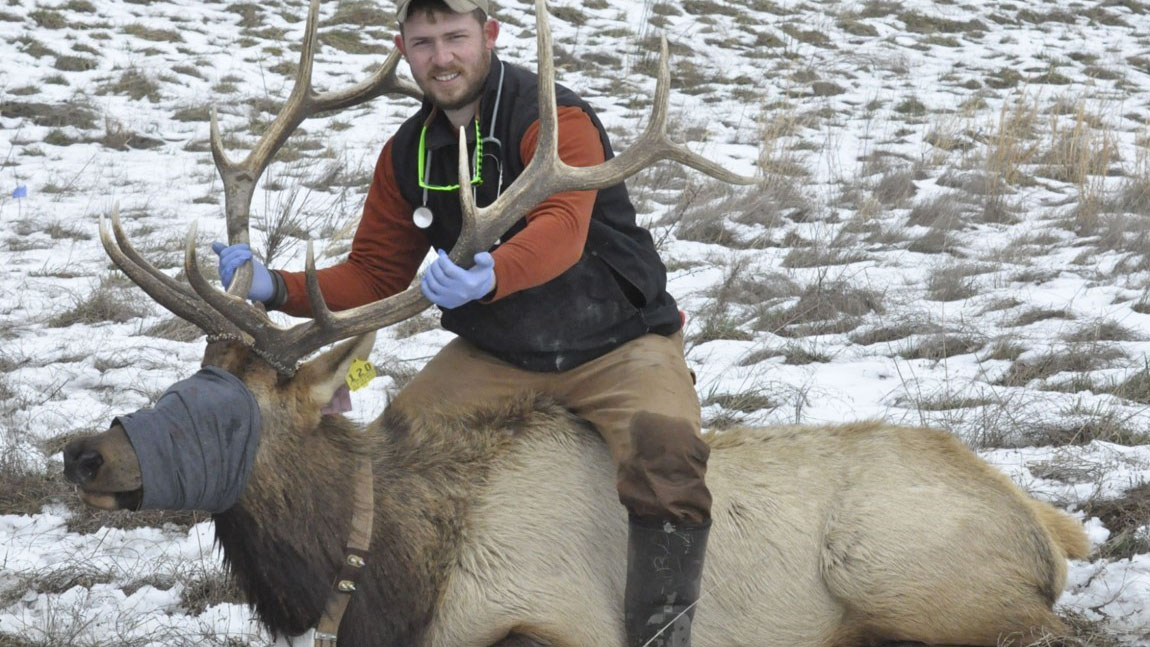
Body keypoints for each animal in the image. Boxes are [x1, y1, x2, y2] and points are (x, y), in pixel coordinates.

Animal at [62, 1, 1085, 647]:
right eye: (181, 376)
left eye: (229, 401)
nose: (81, 452)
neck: (382, 577)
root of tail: (1046, 526)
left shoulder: (553, 613)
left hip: (907, 576)